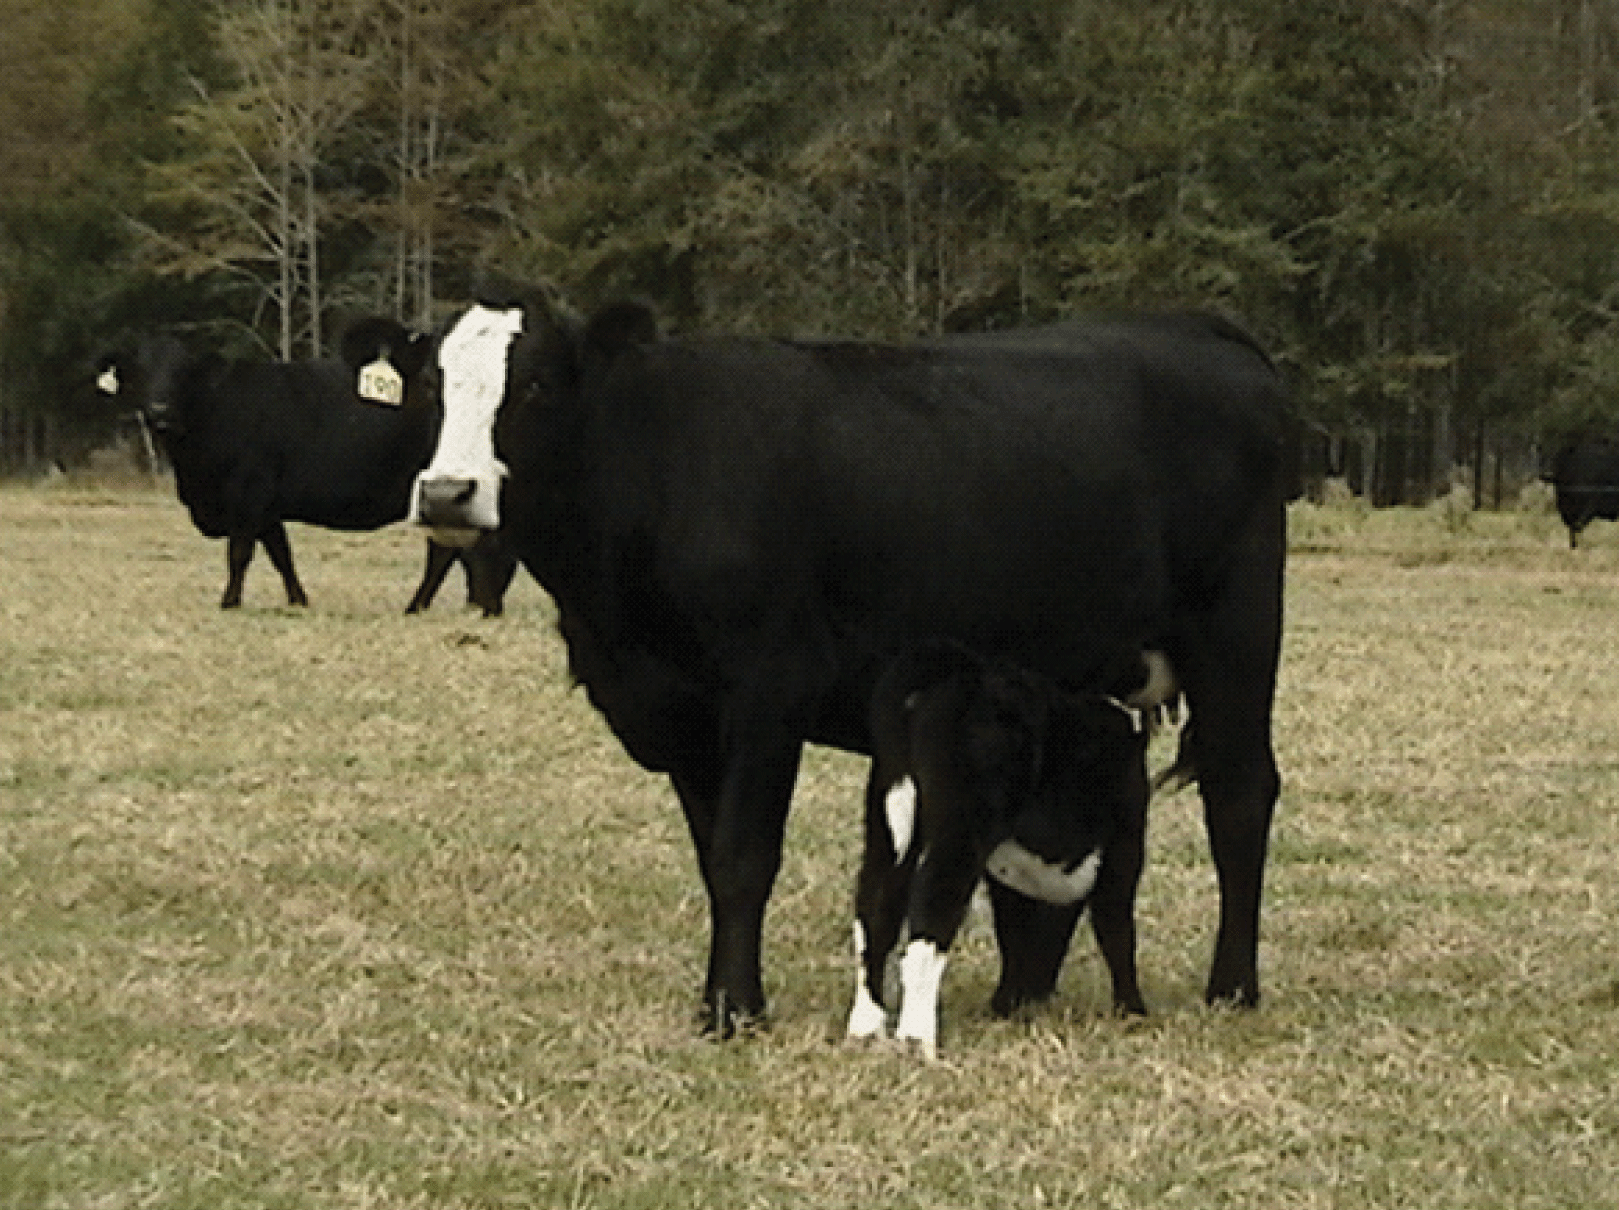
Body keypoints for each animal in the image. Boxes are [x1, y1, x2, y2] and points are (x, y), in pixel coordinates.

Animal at [97, 319, 514, 609]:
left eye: (184, 371)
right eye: (141, 371)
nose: (159, 411)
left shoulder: (248, 494)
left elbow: (240, 553)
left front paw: (230, 602)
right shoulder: (266, 509)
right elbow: (281, 554)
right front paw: (298, 600)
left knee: (454, 551)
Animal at [854, 644, 1159, 1062]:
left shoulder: (1008, 872)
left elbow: (1013, 932)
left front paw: (1008, 1005)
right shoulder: (1124, 846)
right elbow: (1117, 930)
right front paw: (1133, 1012)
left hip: (889, 821)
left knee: (874, 915)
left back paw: (866, 1029)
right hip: (959, 834)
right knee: (930, 918)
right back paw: (917, 1040)